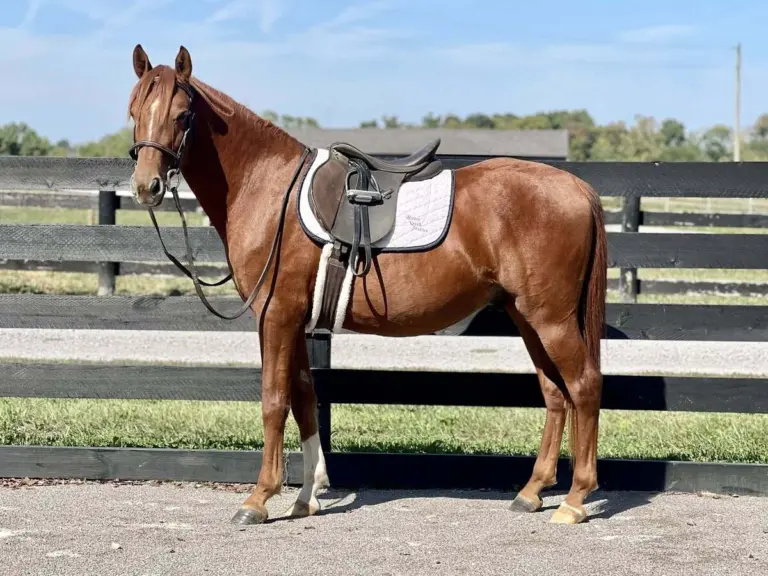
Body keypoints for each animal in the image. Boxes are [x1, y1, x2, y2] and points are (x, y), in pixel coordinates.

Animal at [127, 44, 607, 526]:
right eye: (134, 110)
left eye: (183, 115)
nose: (147, 187)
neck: (270, 189)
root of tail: (578, 188)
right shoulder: (295, 321)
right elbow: (304, 396)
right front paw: (308, 497)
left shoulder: (275, 316)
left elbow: (274, 400)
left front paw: (259, 498)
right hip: (526, 316)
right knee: (555, 393)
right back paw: (532, 491)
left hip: (551, 319)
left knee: (584, 385)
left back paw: (575, 499)